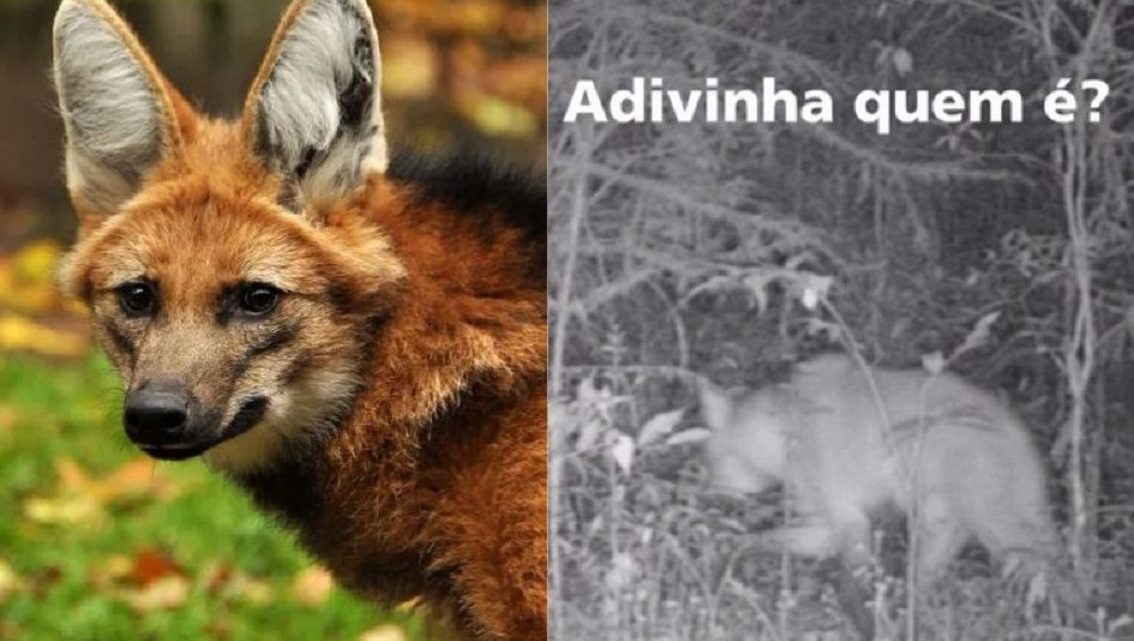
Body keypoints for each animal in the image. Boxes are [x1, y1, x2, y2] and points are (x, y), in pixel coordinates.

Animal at [694, 353, 1065, 589]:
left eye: (710, 462)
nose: (706, 495)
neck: (783, 431)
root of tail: (1023, 440)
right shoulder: (826, 523)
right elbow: (761, 538)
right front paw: (724, 548)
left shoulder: (849, 517)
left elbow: (856, 579)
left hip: (936, 467)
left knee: (1033, 557)